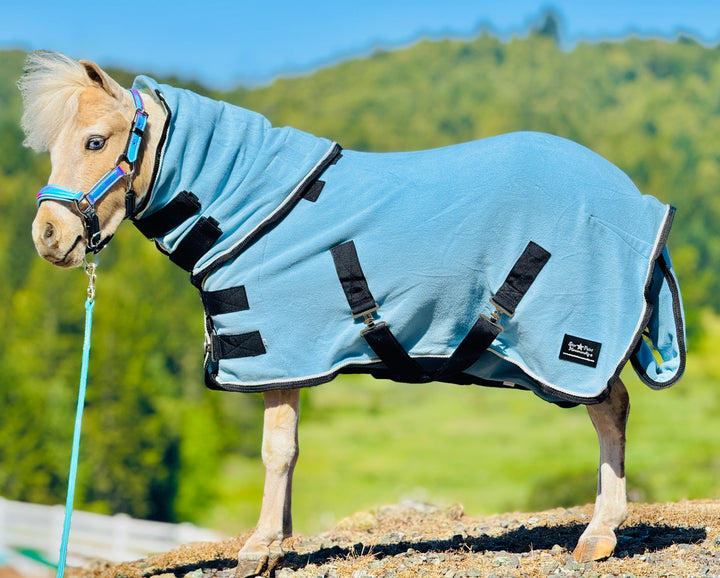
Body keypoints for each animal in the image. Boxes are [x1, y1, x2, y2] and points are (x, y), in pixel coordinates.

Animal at [20, 51, 685, 577]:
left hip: (569, 347)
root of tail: (639, 200)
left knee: (610, 411)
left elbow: (276, 449)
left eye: (96, 142)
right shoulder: (290, 358)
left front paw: (259, 548)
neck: (252, 205)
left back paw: (598, 535)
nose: (48, 238)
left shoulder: (278, 350)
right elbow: (289, 449)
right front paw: (280, 539)